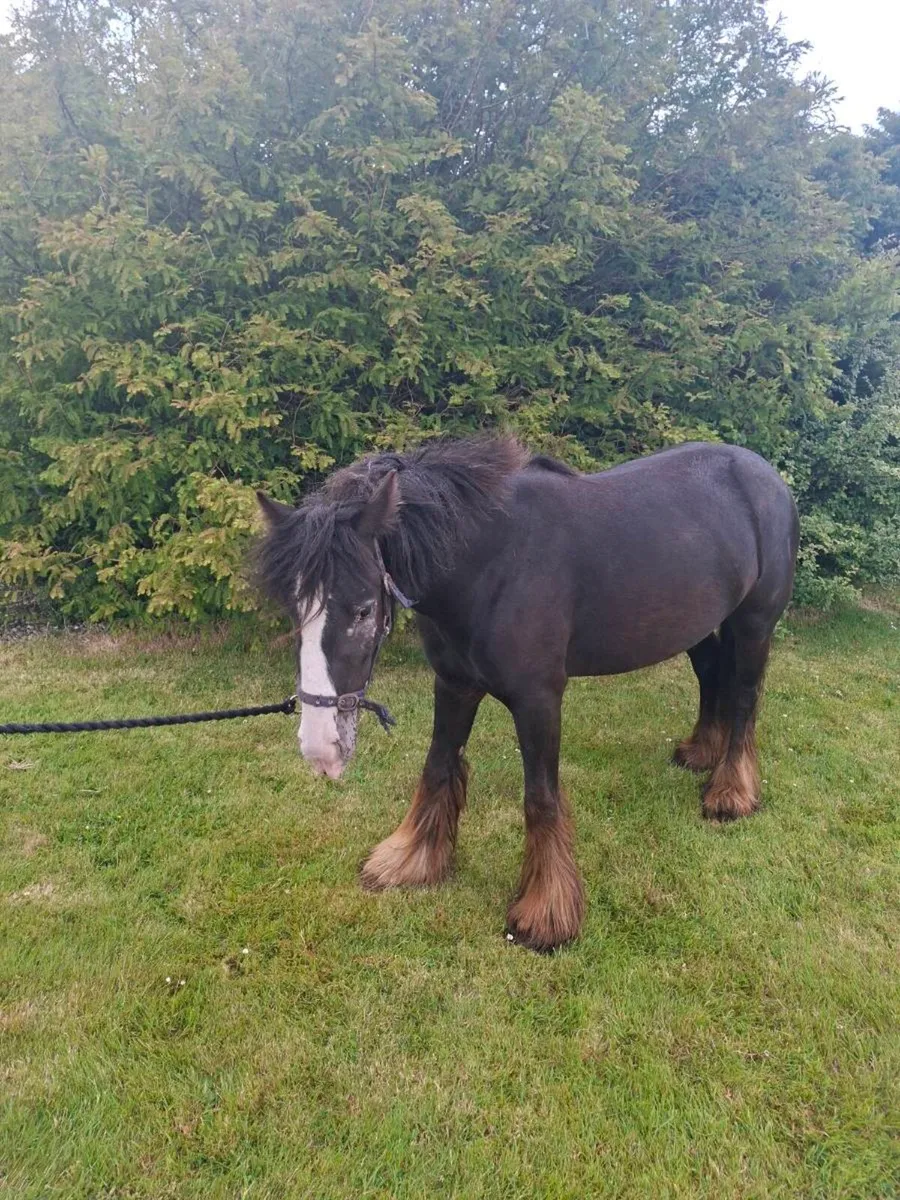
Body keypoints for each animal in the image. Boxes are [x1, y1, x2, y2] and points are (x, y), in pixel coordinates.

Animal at [256, 436, 799, 952]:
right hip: (698, 625)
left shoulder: (539, 699)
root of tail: (765, 475)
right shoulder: (454, 684)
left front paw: (546, 913)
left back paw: (731, 793)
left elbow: (540, 798)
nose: (320, 749)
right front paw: (410, 860)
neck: (492, 565)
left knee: (744, 700)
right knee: (711, 677)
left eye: (364, 610)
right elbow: (436, 769)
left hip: (754, 625)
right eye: (293, 608)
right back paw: (701, 752)